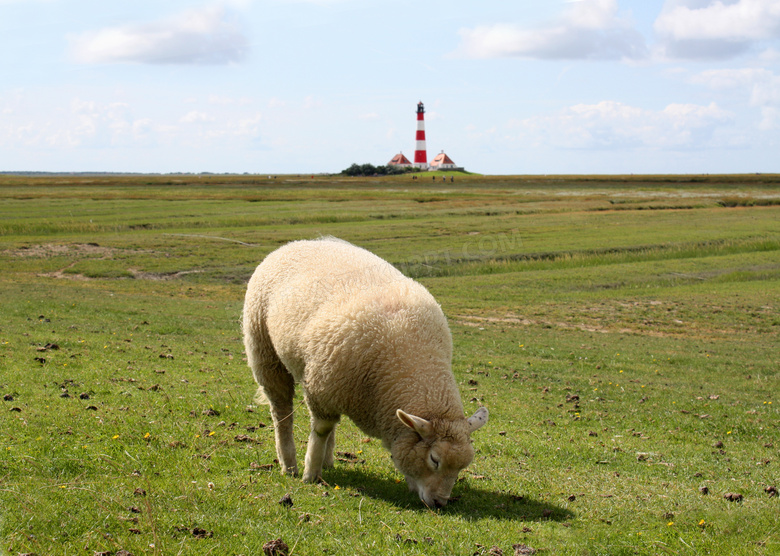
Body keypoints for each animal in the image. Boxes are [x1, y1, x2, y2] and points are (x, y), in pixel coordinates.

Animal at [244, 237, 488, 506]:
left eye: (462, 466)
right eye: (434, 460)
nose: (439, 503)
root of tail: (297, 242)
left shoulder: (334, 386)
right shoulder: (321, 388)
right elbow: (321, 430)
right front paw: (310, 474)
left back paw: (327, 461)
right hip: (265, 352)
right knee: (281, 412)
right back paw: (289, 465)